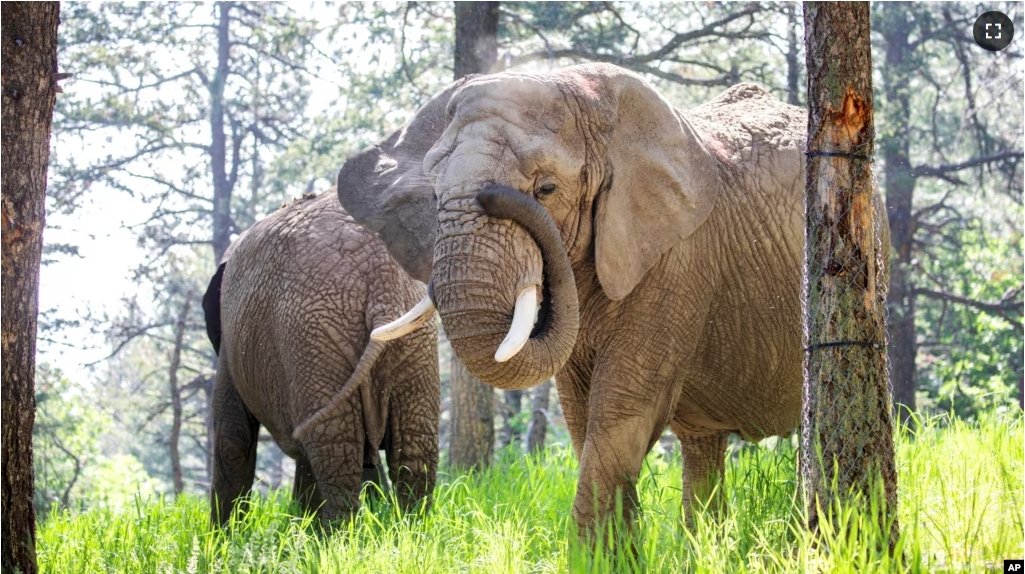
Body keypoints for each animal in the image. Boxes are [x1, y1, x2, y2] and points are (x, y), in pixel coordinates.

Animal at [201, 190, 438, 528]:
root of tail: (380, 278)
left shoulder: (230, 347)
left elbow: (233, 438)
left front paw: (221, 538)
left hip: (312, 337)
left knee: (334, 449)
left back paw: (335, 538)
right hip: (411, 342)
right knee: (412, 451)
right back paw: (408, 532)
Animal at [338, 62, 889, 533]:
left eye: (546, 188)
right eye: (434, 197)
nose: (495, 194)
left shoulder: (677, 259)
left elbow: (621, 412)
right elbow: (582, 419)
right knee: (702, 445)